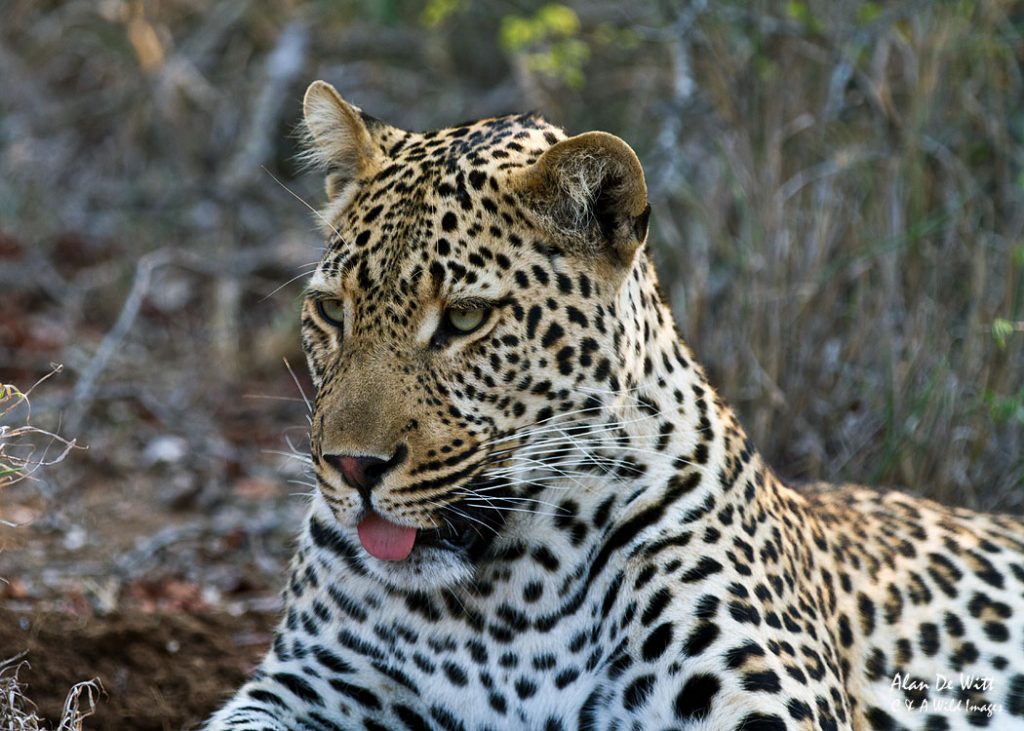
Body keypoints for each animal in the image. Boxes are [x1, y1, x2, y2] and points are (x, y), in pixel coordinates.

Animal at [205, 80, 1024, 730]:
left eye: (465, 319)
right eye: (330, 311)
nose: (351, 467)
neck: (501, 596)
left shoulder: (765, 698)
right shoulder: (305, 685)